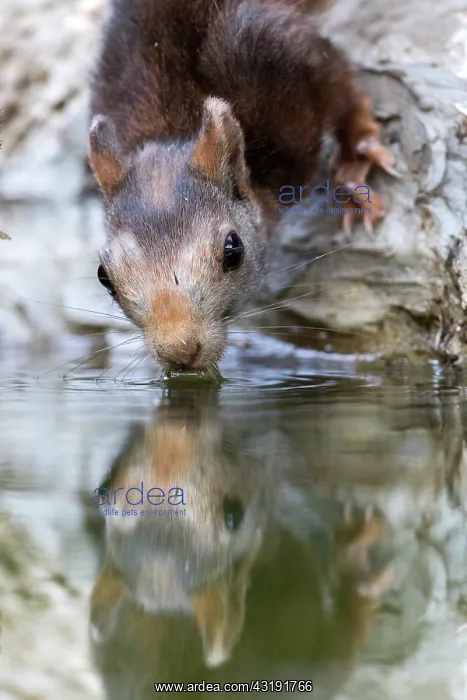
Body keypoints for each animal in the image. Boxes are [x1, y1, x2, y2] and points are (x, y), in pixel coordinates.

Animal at [89, 0, 398, 373]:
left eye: (233, 249)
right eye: (104, 277)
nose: (179, 353)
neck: (176, 128)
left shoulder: (274, 52)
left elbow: (340, 86)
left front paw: (357, 159)